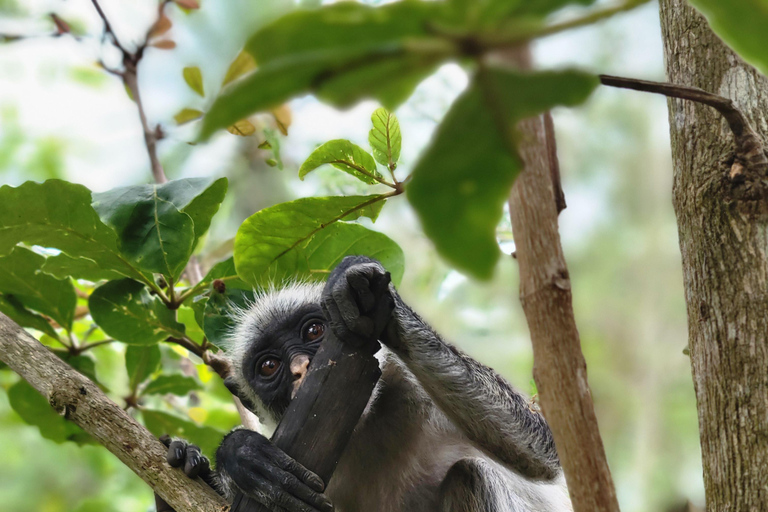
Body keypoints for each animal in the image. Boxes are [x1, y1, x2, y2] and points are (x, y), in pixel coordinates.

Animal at [165, 258, 572, 512]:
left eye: (314, 331)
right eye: (269, 366)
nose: (301, 368)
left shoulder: (412, 387)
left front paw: (366, 294)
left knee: (472, 474)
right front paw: (235, 454)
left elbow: (543, 452)